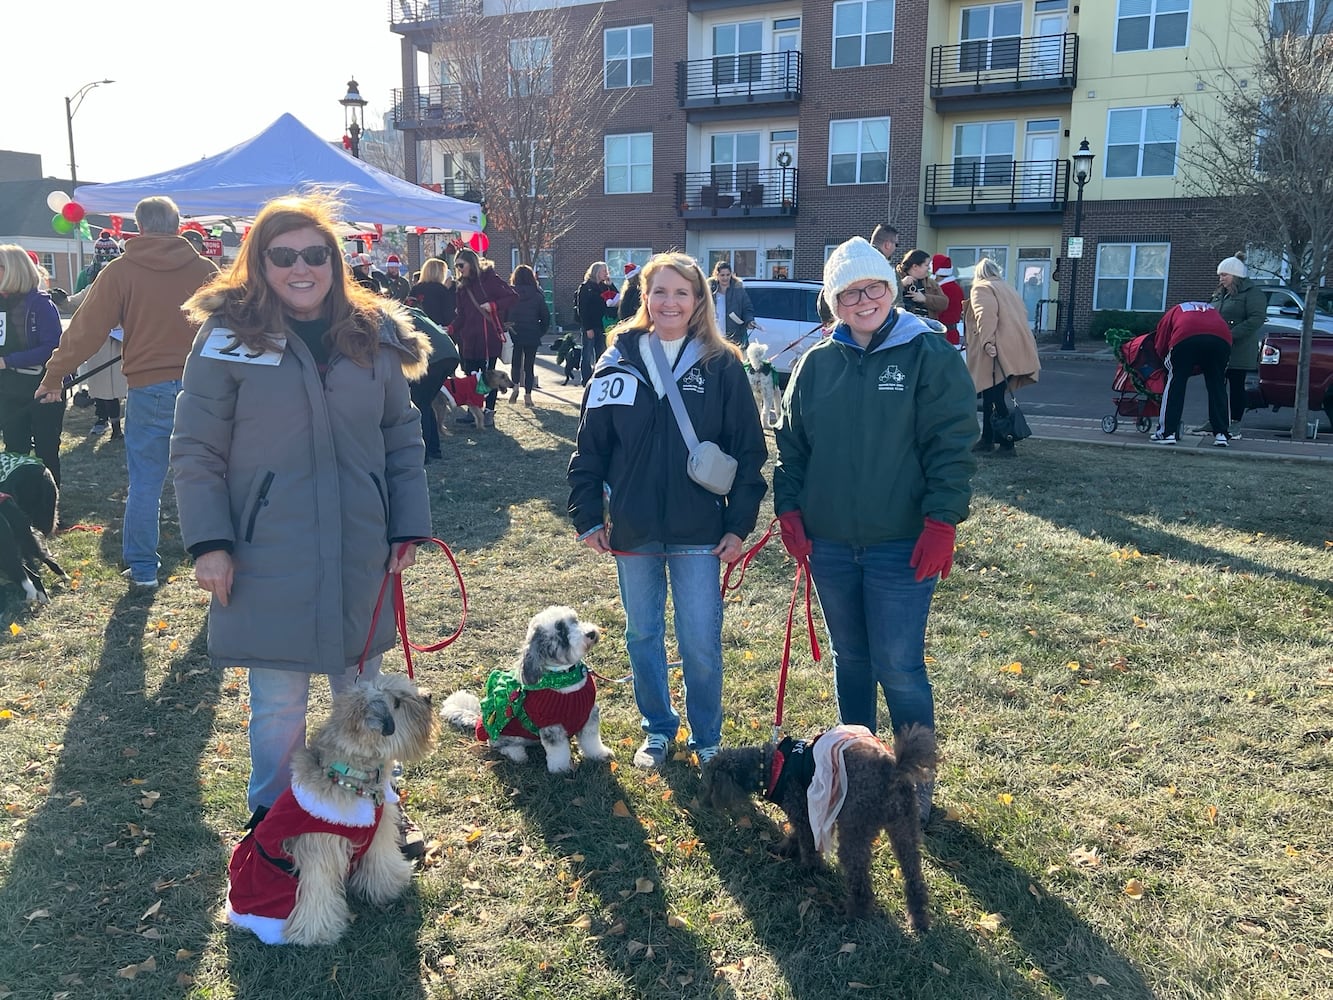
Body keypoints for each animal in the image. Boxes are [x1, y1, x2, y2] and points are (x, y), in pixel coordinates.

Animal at [226, 674, 437, 949]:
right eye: (397, 703)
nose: (429, 696)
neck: (351, 776)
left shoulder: (378, 832)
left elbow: (382, 863)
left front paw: (391, 885)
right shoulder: (319, 851)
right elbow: (317, 896)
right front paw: (316, 934)